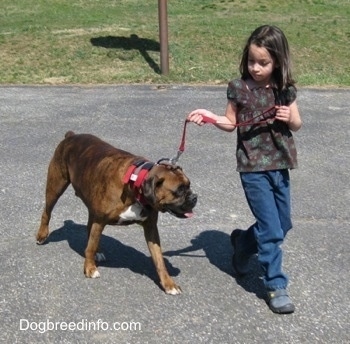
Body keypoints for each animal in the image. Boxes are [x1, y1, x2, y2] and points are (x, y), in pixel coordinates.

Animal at [37, 130, 200, 294]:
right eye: (179, 191)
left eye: (189, 185)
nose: (194, 197)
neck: (135, 187)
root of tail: (71, 136)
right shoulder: (100, 220)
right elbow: (91, 247)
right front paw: (90, 269)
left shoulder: (151, 228)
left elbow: (159, 259)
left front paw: (168, 283)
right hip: (56, 186)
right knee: (47, 212)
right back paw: (42, 235)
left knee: (90, 229)